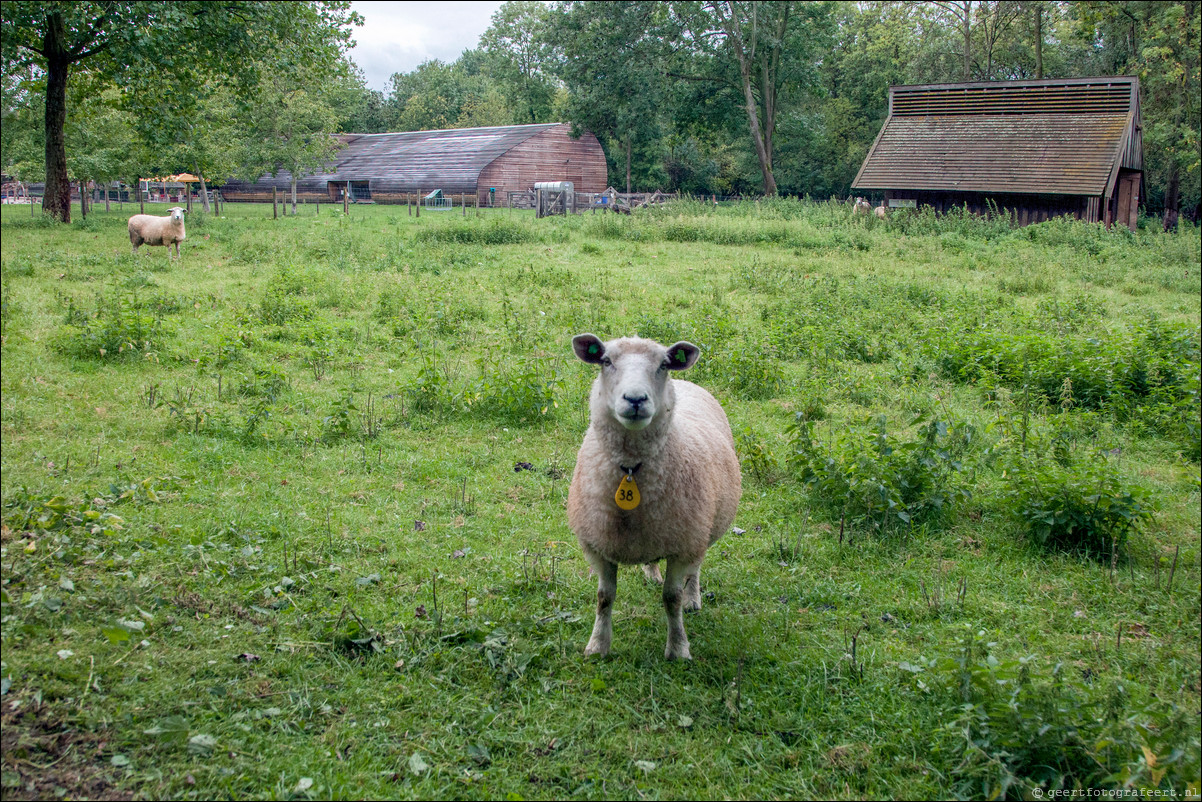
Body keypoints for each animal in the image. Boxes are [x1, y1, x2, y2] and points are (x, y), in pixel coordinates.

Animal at [564, 331, 740, 658]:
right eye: (606, 361)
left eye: (663, 365)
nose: (635, 399)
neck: (631, 470)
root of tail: (687, 383)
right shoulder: (597, 545)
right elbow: (604, 597)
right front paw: (598, 645)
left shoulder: (684, 544)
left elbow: (671, 598)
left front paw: (678, 648)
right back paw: (652, 572)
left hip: (701, 529)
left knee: (695, 570)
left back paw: (693, 599)